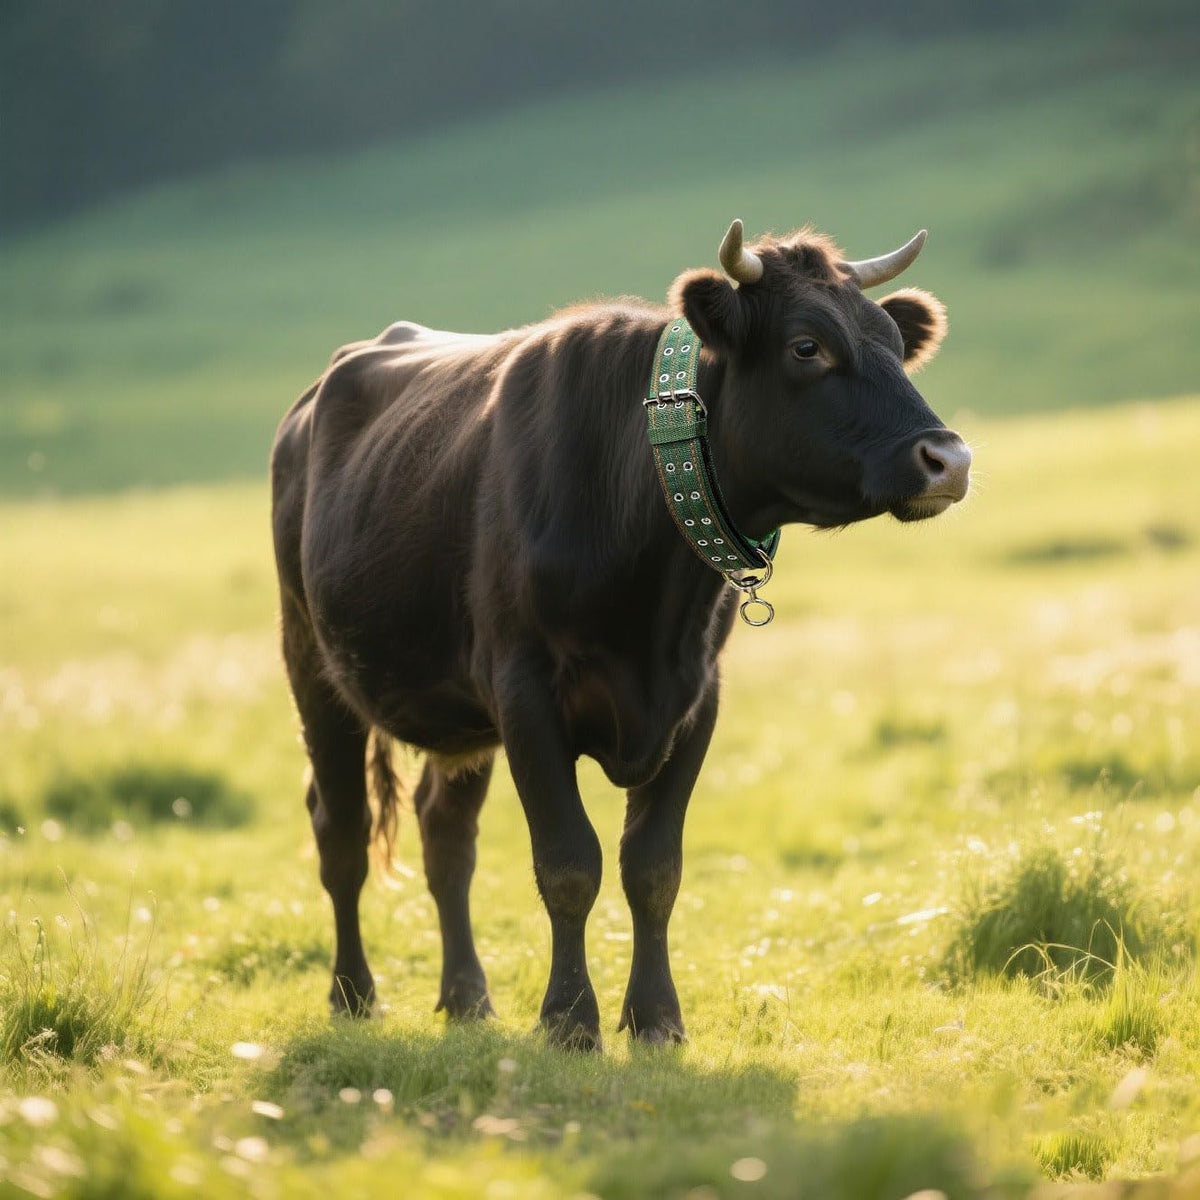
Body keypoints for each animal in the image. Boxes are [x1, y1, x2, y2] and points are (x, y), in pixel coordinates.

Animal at [270, 220, 971, 1049]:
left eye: (894, 342)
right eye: (807, 346)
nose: (948, 459)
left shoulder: (696, 700)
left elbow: (653, 868)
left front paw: (657, 1018)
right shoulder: (525, 691)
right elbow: (570, 863)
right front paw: (571, 1021)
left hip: (456, 715)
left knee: (446, 838)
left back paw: (468, 996)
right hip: (313, 662)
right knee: (341, 834)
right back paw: (353, 993)